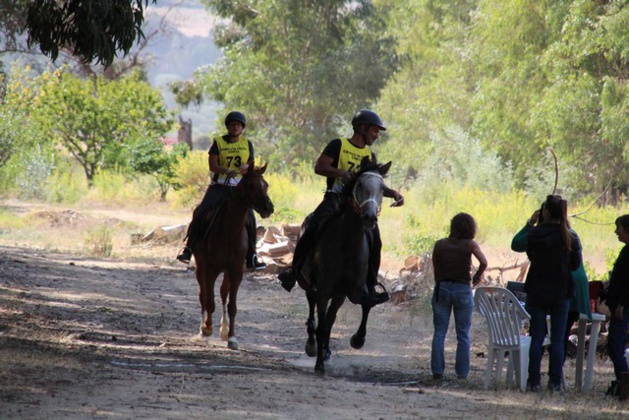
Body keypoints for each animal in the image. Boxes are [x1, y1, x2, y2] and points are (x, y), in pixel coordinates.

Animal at [193, 162, 274, 350]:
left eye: (266, 185)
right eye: (250, 185)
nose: (268, 208)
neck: (229, 229)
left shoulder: (236, 270)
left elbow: (232, 305)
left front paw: (231, 337)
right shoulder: (211, 268)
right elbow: (209, 300)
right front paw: (207, 328)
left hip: (227, 271)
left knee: (223, 293)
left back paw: (223, 330)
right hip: (201, 267)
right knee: (203, 295)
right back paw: (202, 330)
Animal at [296, 159, 390, 372]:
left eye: (383, 188)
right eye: (360, 185)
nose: (370, 217)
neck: (347, 242)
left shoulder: (348, 291)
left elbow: (361, 306)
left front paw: (357, 340)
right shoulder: (324, 289)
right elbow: (322, 325)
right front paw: (319, 364)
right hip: (307, 284)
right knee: (312, 305)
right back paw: (312, 344)